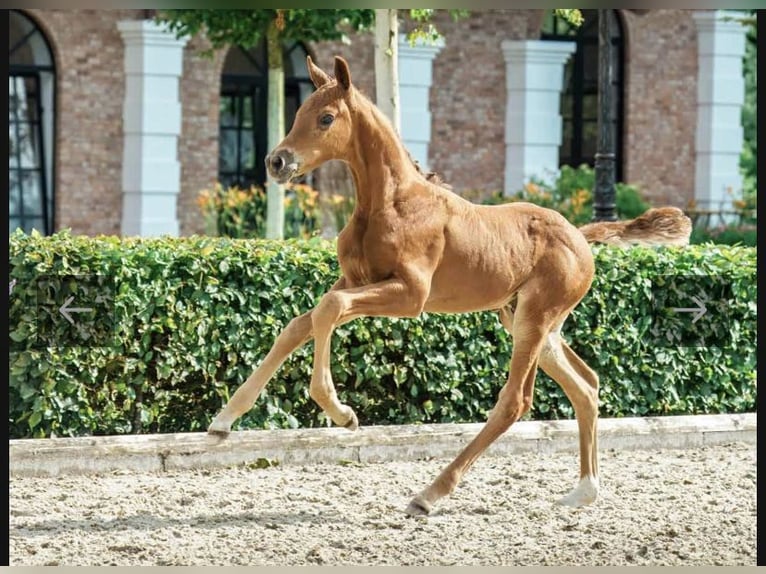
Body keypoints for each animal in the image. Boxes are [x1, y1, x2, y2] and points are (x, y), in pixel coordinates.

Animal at [208, 57, 696, 516]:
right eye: (297, 113)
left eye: (326, 118)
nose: (276, 162)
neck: (391, 204)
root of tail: (579, 234)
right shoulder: (357, 279)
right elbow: (298, 324)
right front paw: (224, 418)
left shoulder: (409, 294)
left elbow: (330, 307)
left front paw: (341, 412)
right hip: (527, 320)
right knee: (586, 385)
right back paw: (584, 490)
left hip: (535, 319)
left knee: (515, 401)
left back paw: (429, 494)